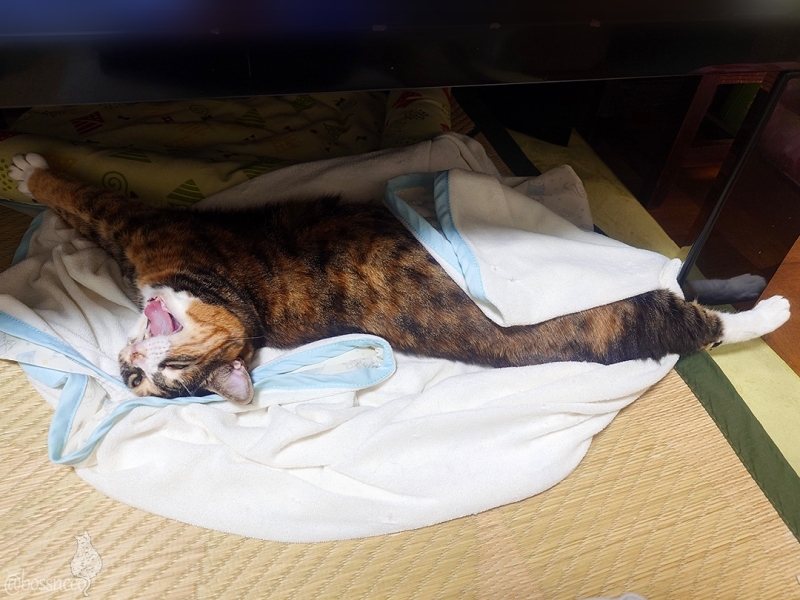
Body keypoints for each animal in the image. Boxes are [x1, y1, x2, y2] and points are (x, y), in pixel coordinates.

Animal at [8, 153, 791, 405]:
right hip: (626, 313)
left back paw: (771, 301)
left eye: (172, 369)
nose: (130, 366)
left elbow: (86, 195)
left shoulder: (144, 227)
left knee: (698, 312)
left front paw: (27, 170)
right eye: (142, 385)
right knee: (688, 307)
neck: (246, 306)